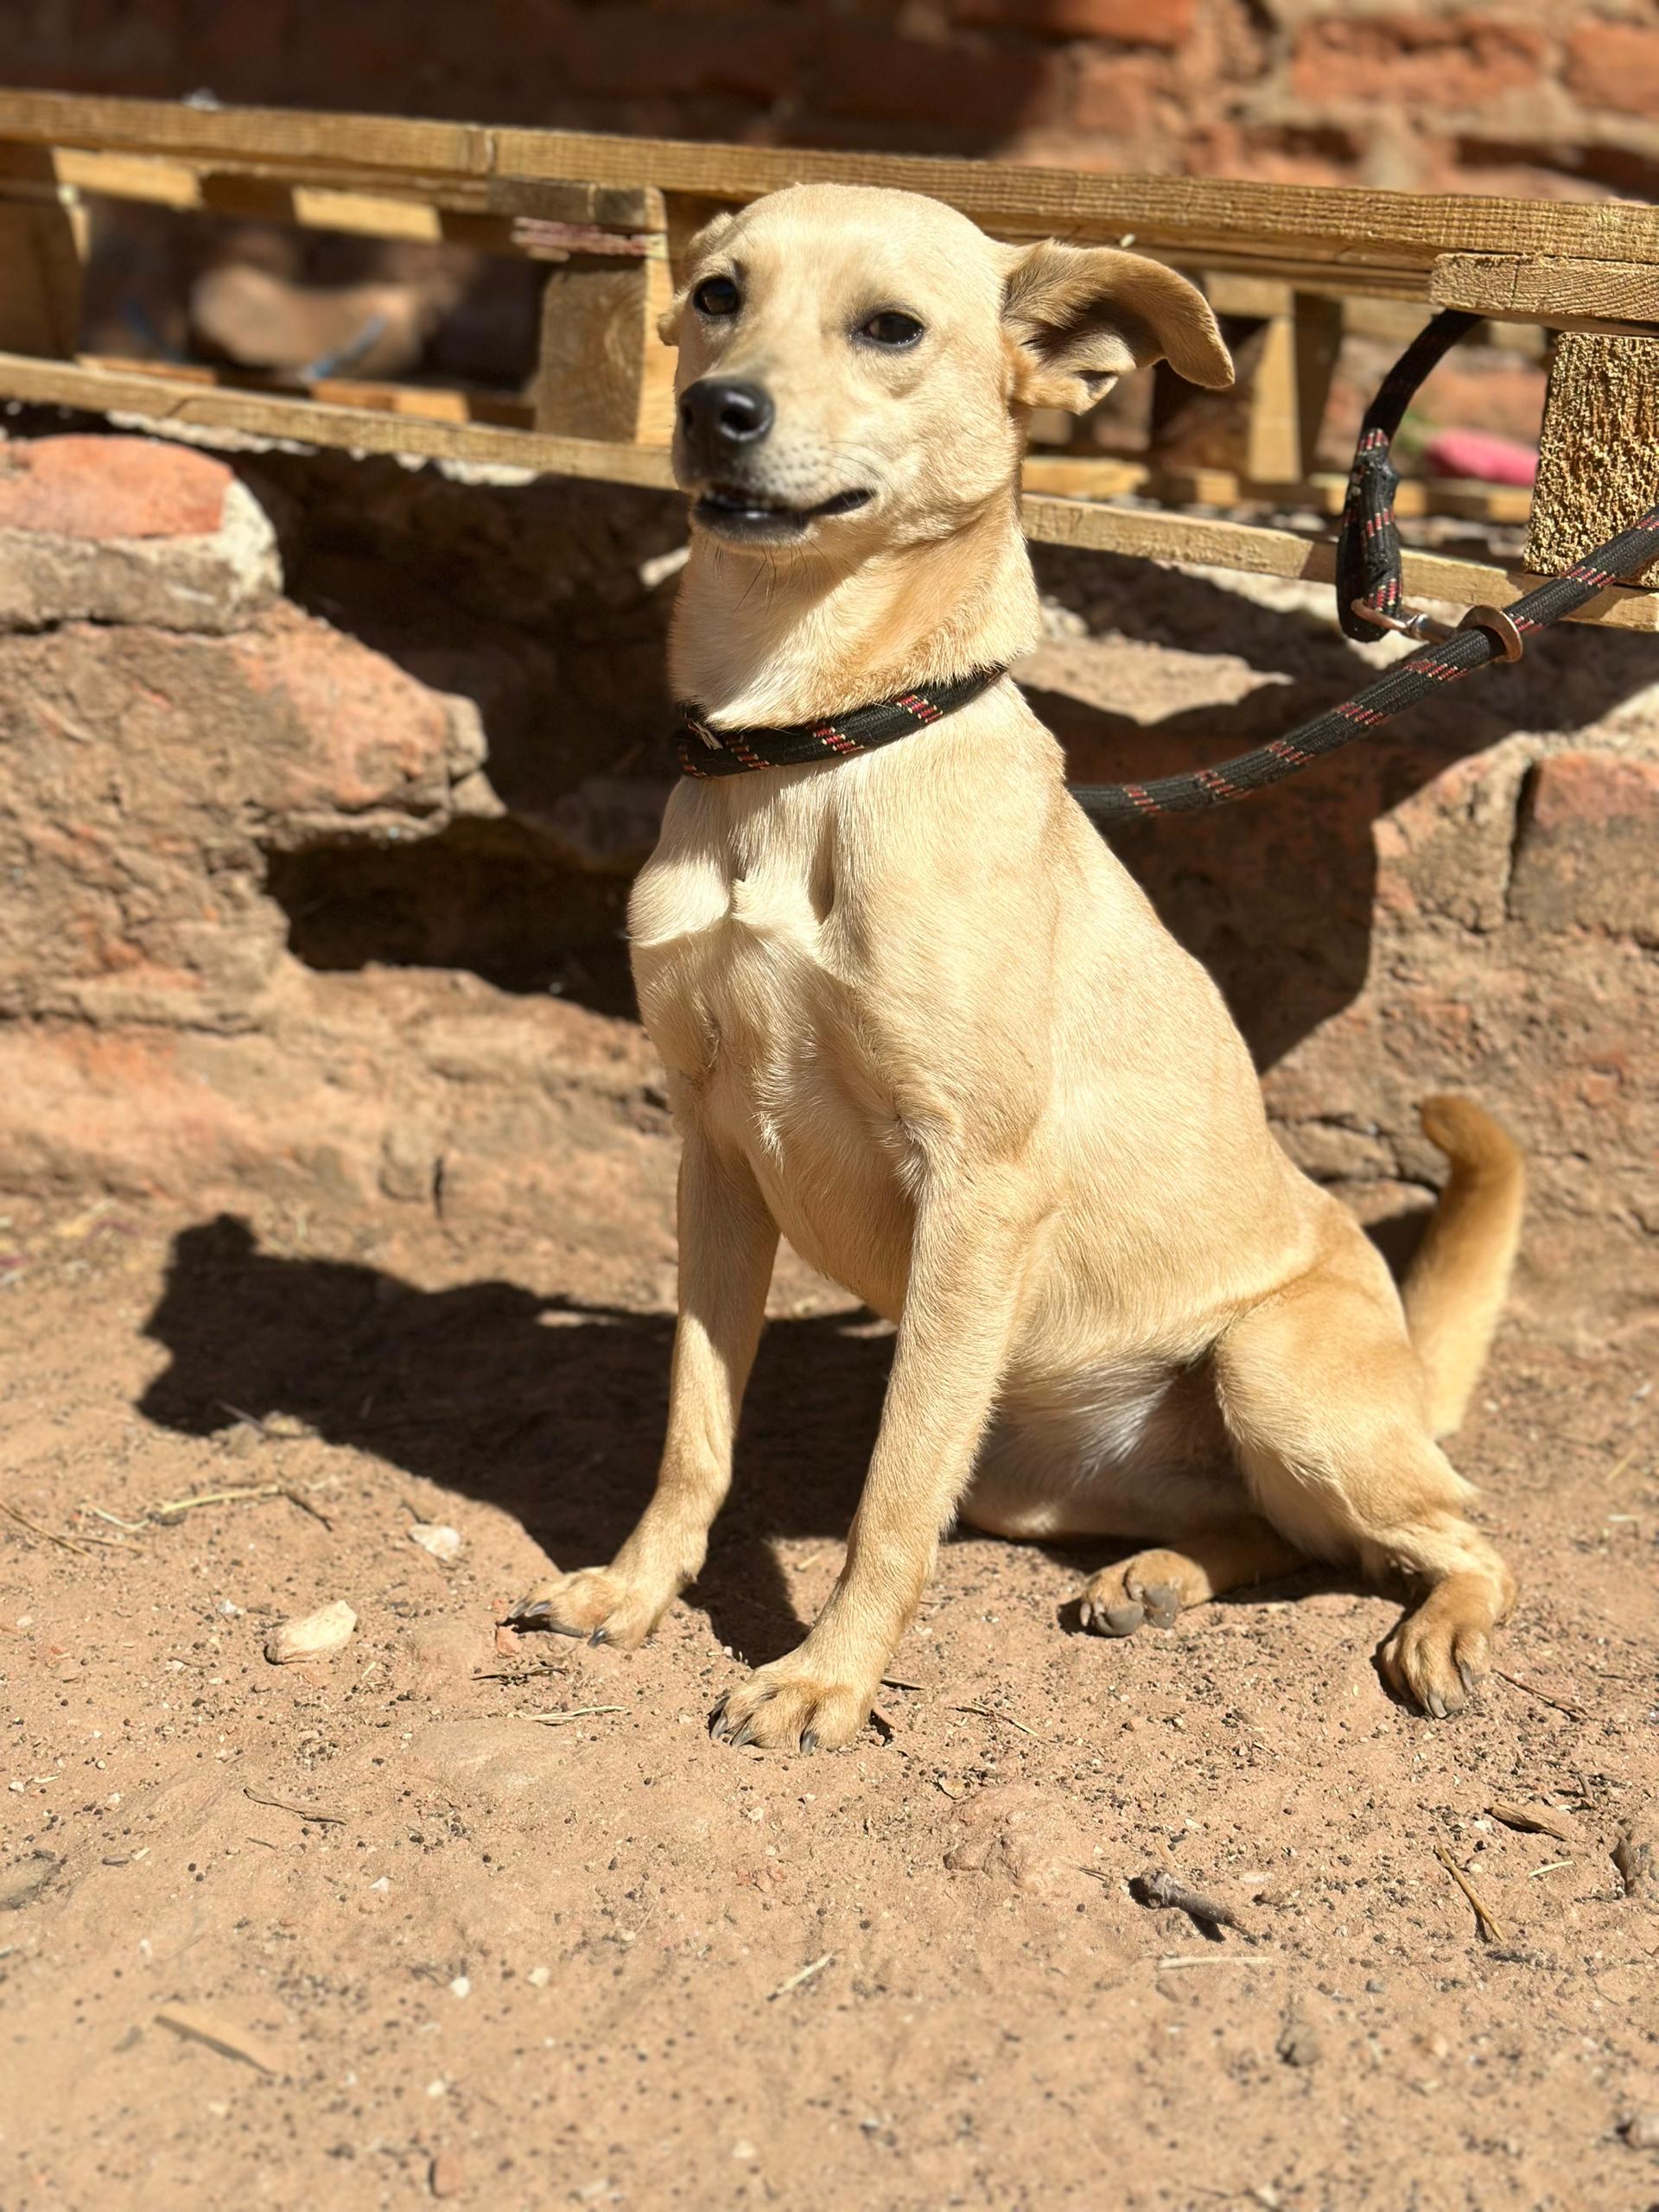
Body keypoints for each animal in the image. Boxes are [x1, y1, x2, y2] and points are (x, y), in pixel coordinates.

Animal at [511, 183, 1525, 1753]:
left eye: (890, 328)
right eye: (720, 294)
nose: (715, 410)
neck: (806, 751)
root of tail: (1411, 1371)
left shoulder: (975, 1186)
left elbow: (888, 1493)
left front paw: (828, 1677)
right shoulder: (713, 1160)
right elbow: (695, 1433)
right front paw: (634, 1589)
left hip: (1273, 1372)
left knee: (1459, 1533)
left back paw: (1443, 1624)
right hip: (1038, 1476)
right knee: (1280, 1533)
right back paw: (1159, 1576)